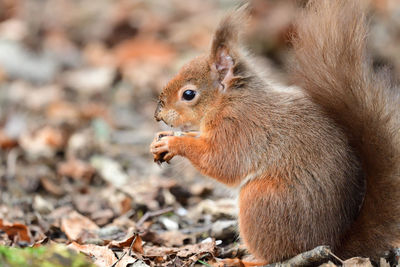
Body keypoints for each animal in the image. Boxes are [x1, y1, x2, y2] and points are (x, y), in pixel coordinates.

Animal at [149, 0, 400, 266]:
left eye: (188, 94)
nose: (158, 113)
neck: (227, 100)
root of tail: (332, 245)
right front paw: (162, 141)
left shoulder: (239, 127)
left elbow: (221, 161)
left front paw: (173, 143)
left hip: (260, 202)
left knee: (273, 256)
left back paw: (245, 260)